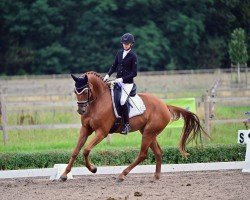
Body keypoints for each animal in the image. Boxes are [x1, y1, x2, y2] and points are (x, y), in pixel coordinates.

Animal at [60, 71, 207, 181]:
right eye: (75, 91)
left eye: (86, 91)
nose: (81, 110)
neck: (97, 102)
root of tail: (164, 105)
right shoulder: (85, 129)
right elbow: (75, 151)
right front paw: (64, 174)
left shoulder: (102, 132)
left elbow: (86, 150)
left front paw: (93, 168)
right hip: (148, 132)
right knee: (158, 152)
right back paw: (156, 176)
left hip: (148, 133)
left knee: (143, 154)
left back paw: (122, 175)